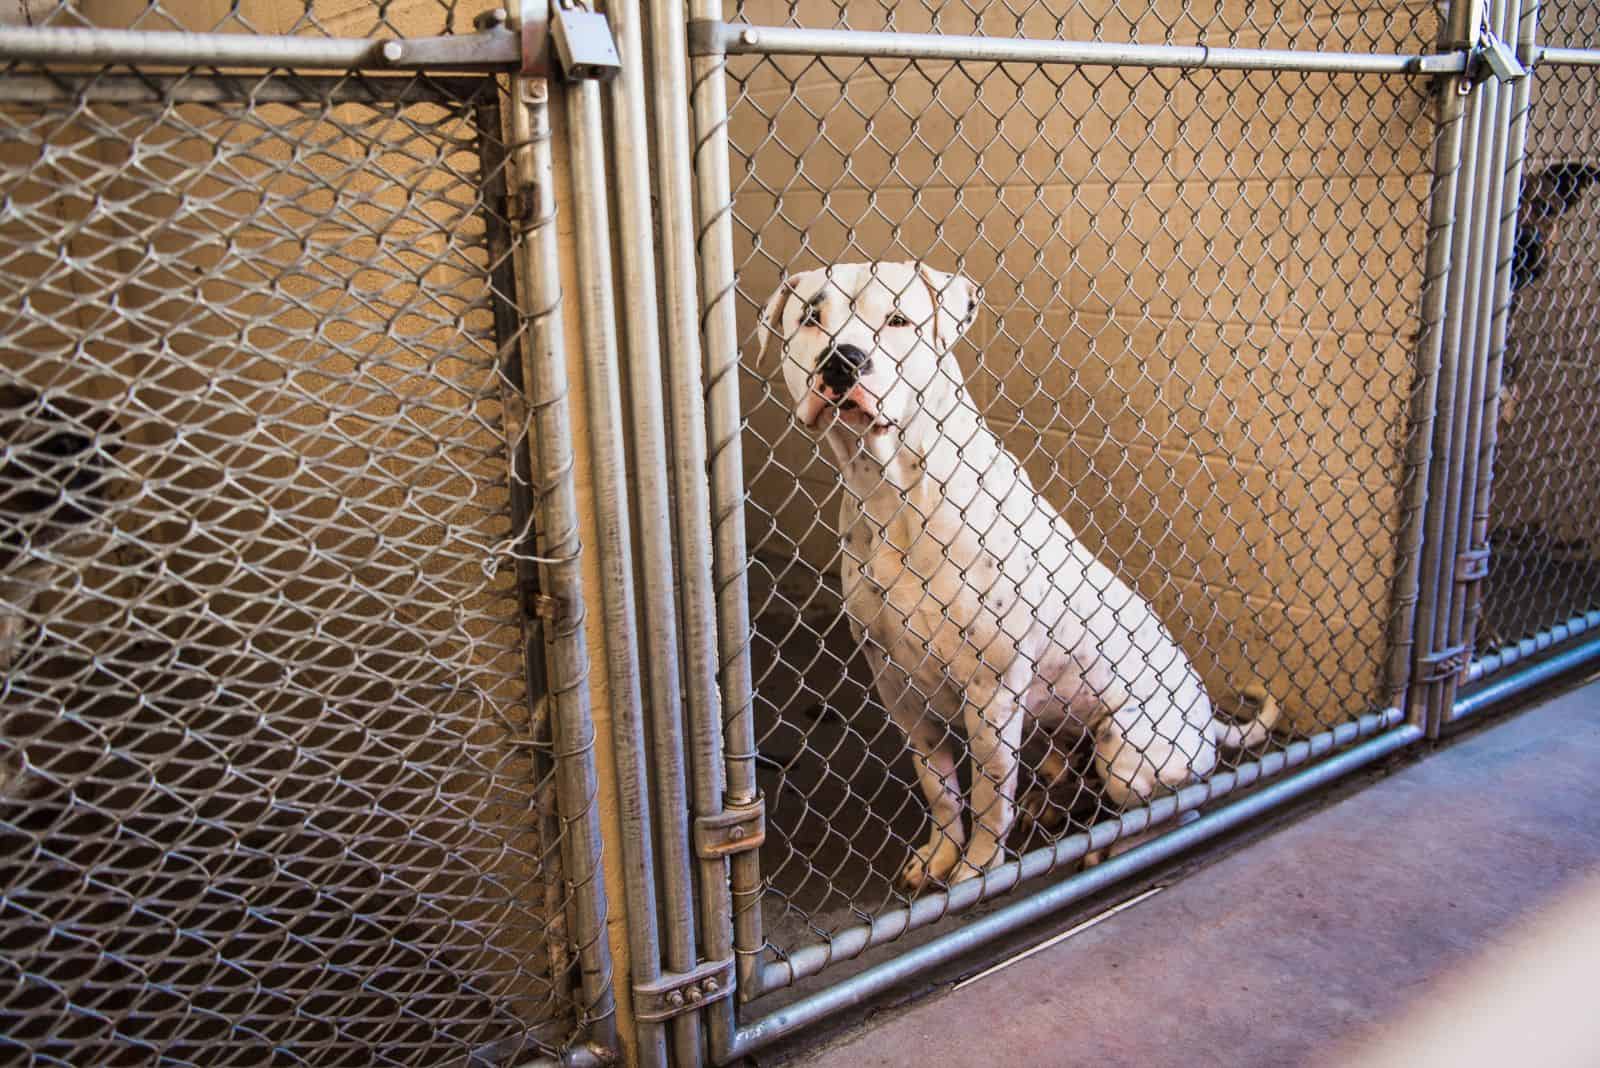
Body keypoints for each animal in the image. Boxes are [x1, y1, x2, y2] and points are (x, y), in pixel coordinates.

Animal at [755, 262, 1280, 888]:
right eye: (811, 316)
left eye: (898, 319)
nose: (842, 360)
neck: (892, 490)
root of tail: (1204, 715)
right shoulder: (899, 689)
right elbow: (940, 788)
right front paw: (940, 855)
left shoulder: (993, 697)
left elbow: (987, 801)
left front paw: (976, 872)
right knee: (1067, 770)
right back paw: (1049, 800)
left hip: (1129, 748)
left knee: (1176, 807)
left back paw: (1114, 844)